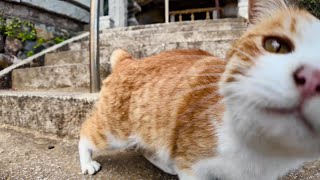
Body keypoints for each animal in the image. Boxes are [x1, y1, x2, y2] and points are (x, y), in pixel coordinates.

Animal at [79, 0, 320, 179]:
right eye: (276, 46)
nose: (311, 77)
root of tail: (128, 60)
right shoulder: (193, 168)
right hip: (115, 130)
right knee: (86, 132)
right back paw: (88, 162)